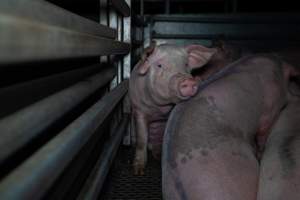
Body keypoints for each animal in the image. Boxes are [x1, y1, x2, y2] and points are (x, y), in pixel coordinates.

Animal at [127, 42, 217, 175]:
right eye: (159, 65)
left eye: (186, 64)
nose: (188, 80)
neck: (160, 109)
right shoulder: (139, 109)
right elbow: (142, 139)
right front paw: (138, 171)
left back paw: (159, 156)